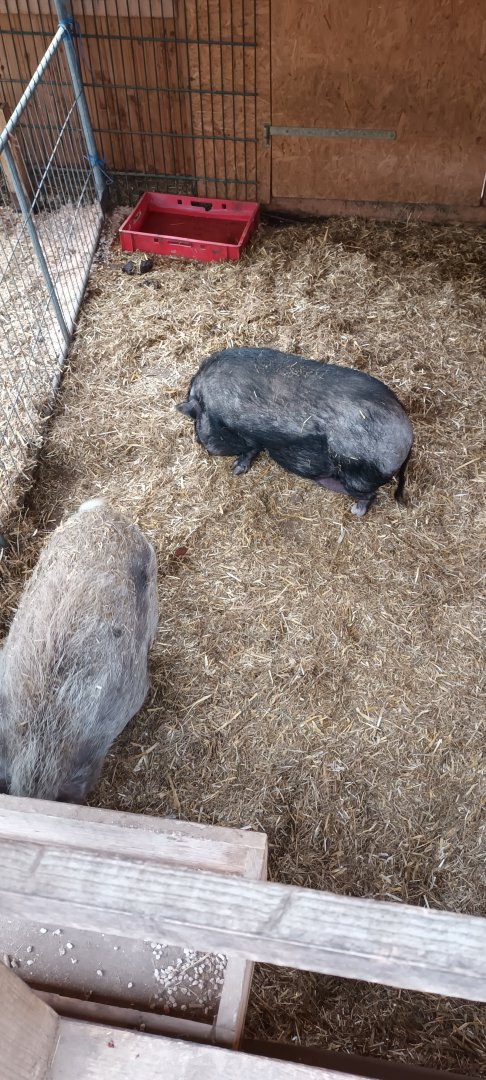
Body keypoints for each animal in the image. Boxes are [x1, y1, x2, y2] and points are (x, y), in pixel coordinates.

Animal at [177, 347, 413, 517]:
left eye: (197, 426)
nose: (202, 444)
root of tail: (409, 435)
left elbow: (249, 449)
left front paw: (235, 470)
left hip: (360, 475)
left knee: (370, 494)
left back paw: (356, 512)